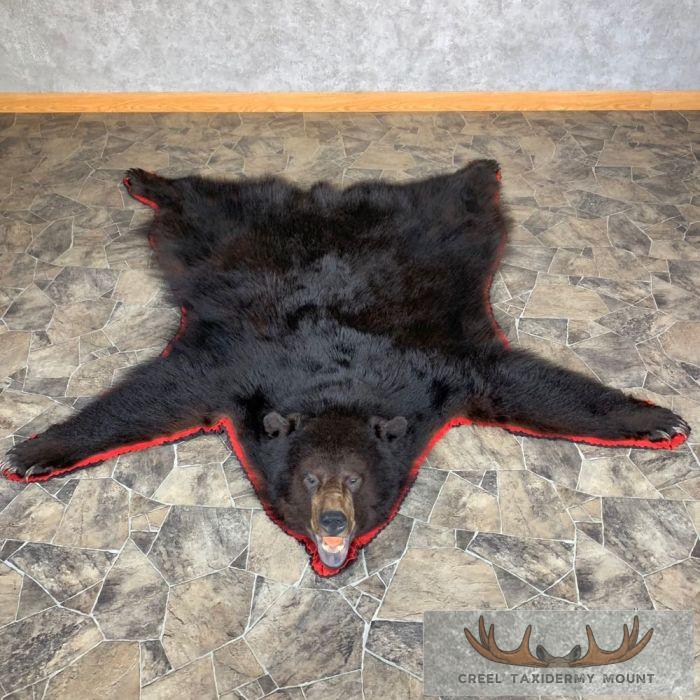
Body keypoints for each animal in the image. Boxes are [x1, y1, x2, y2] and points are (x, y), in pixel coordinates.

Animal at [4, 160, 689, 574]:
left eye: (353, 481)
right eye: (312, 480)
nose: (332, 521)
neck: (337, 390)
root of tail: (325, 201)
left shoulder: (439, 373)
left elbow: (527, 386)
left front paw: (655, 419)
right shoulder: (234, 372)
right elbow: (156, 396)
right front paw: (38, 450)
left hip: (441, 228)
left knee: (454, 197)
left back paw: (479, 168)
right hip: (226, 229)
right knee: (204, 199)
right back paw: (144, 177)